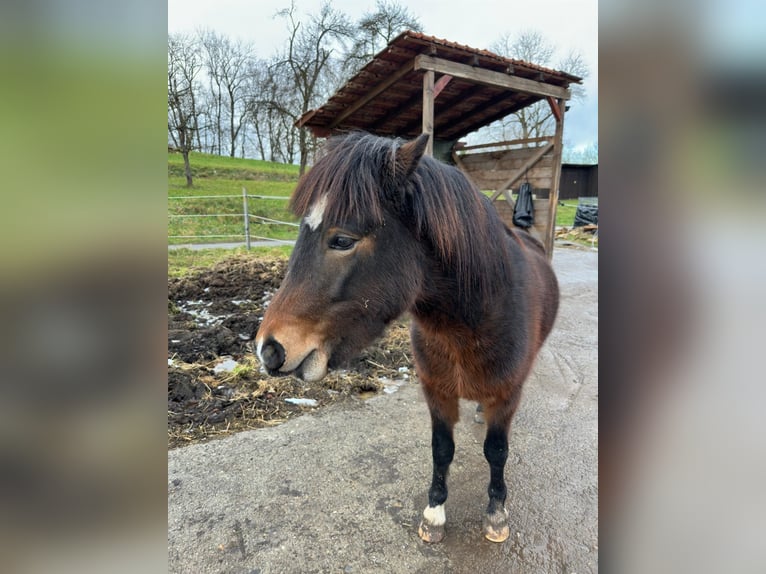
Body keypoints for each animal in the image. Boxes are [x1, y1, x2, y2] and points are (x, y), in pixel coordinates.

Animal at [255, 133, 560, 548]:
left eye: (342, 239)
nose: (269, 349)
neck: (473, 322)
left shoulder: (507, 394)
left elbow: (496, 452)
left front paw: (496, 514)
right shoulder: (436, 391)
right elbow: (442, 450)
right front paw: (434, 513)